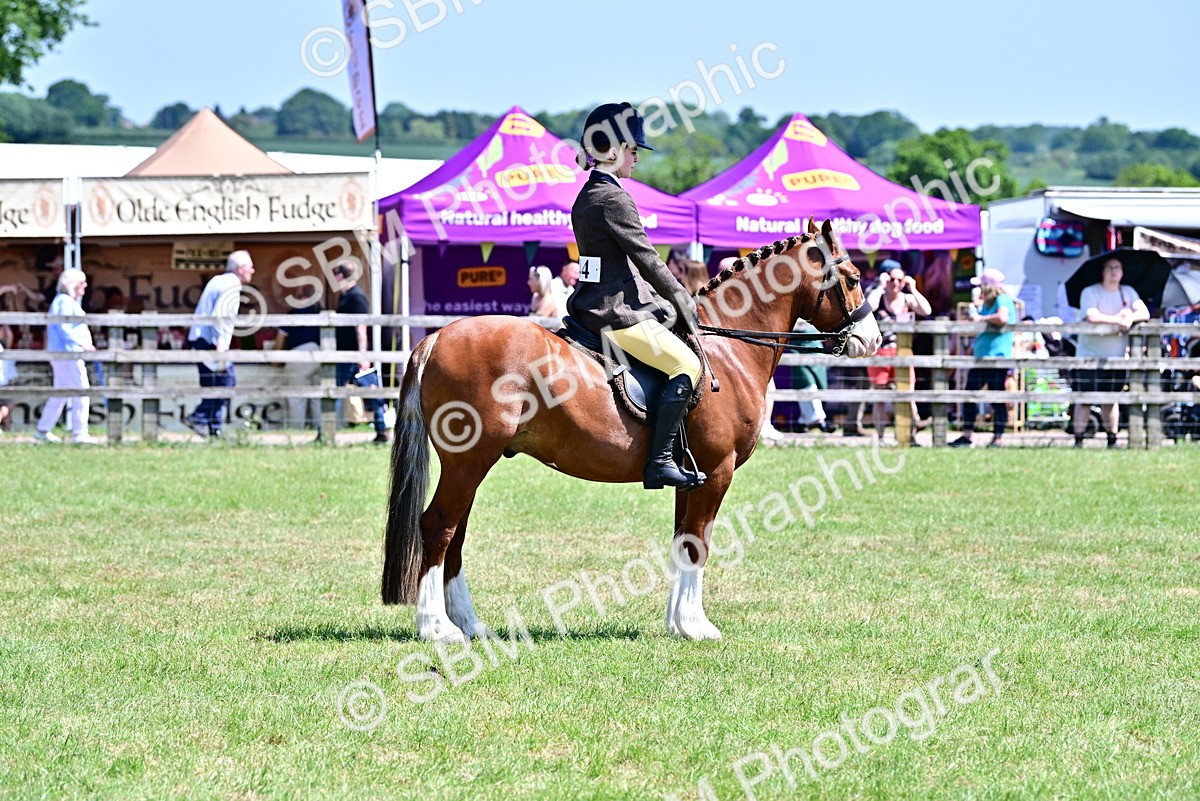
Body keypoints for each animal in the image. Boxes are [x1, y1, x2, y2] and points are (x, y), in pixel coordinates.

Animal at [382, 218, 882, 641]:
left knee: (456, 533)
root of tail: (437, 337)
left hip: (471, 464)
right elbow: (698, 544)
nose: (873, 340)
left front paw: (678, 624)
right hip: (468, 462)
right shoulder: (717, 472)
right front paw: (698, 627)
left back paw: (469, 624)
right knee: (439, 526)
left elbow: (682, 541)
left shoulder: (692, 477)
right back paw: (437, 628)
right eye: (854, 278)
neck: (727, 352)